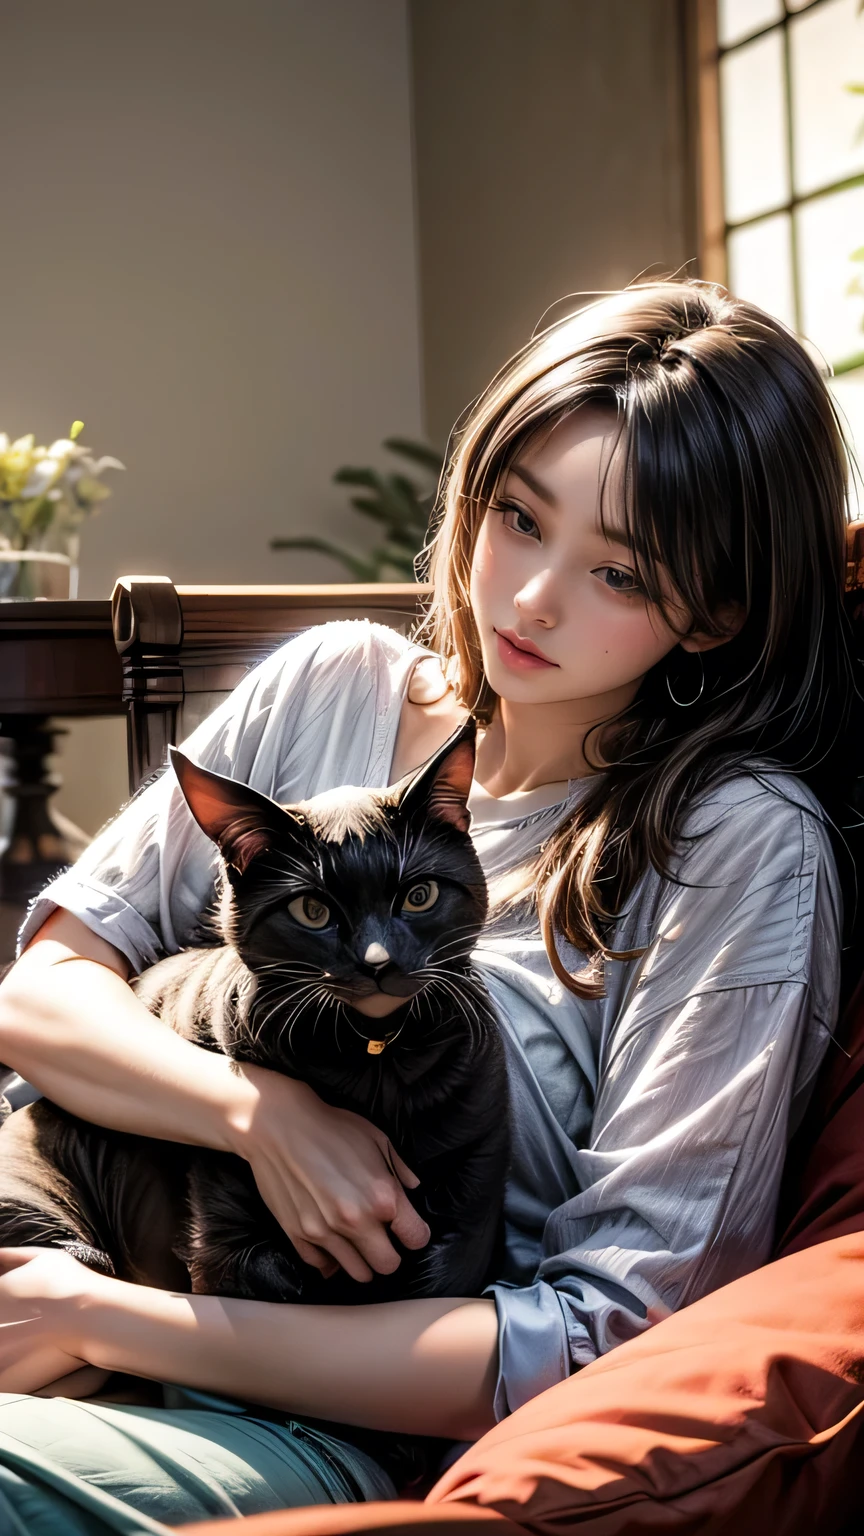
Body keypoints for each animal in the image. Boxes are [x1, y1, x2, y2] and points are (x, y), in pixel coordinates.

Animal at [0, 718, 507, 1308]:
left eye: (420, 896)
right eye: (312, 910)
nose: (378, 961)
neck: (375, 1056)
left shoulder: (471, 1213)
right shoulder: (229, 1245)